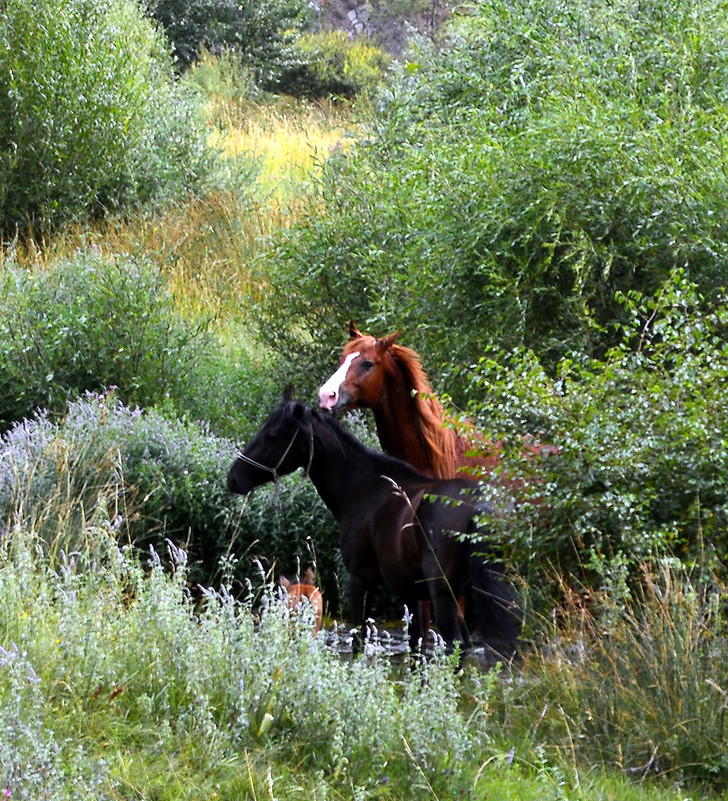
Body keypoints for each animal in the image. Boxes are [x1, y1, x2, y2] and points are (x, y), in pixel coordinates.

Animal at [230, 398, 520, 656]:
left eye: (273, 433)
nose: (233, 478)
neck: (365, 489)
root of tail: (478, 506)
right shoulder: (411, 593)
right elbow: (416, 646)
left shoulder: (361, 579)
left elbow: (359, 639)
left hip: (445, 595)